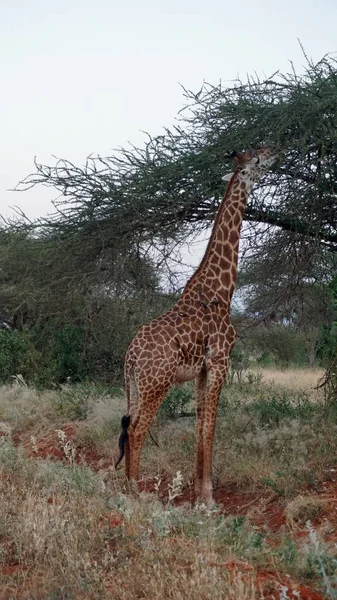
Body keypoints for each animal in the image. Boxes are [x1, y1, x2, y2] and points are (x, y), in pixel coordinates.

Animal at [115, 148, 276, 504]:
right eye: (257, 161)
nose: (273, 152)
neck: (221, 291)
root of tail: (130, 357)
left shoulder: (202, 369)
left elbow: (200, 425)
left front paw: (199, 494)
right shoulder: (220, 361)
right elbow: (212, 426)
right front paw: (208, 498)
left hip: (133, 386)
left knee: (127, 426)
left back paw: (127, 487)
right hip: (156, 383)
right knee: (137, 429)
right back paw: (134, 492)